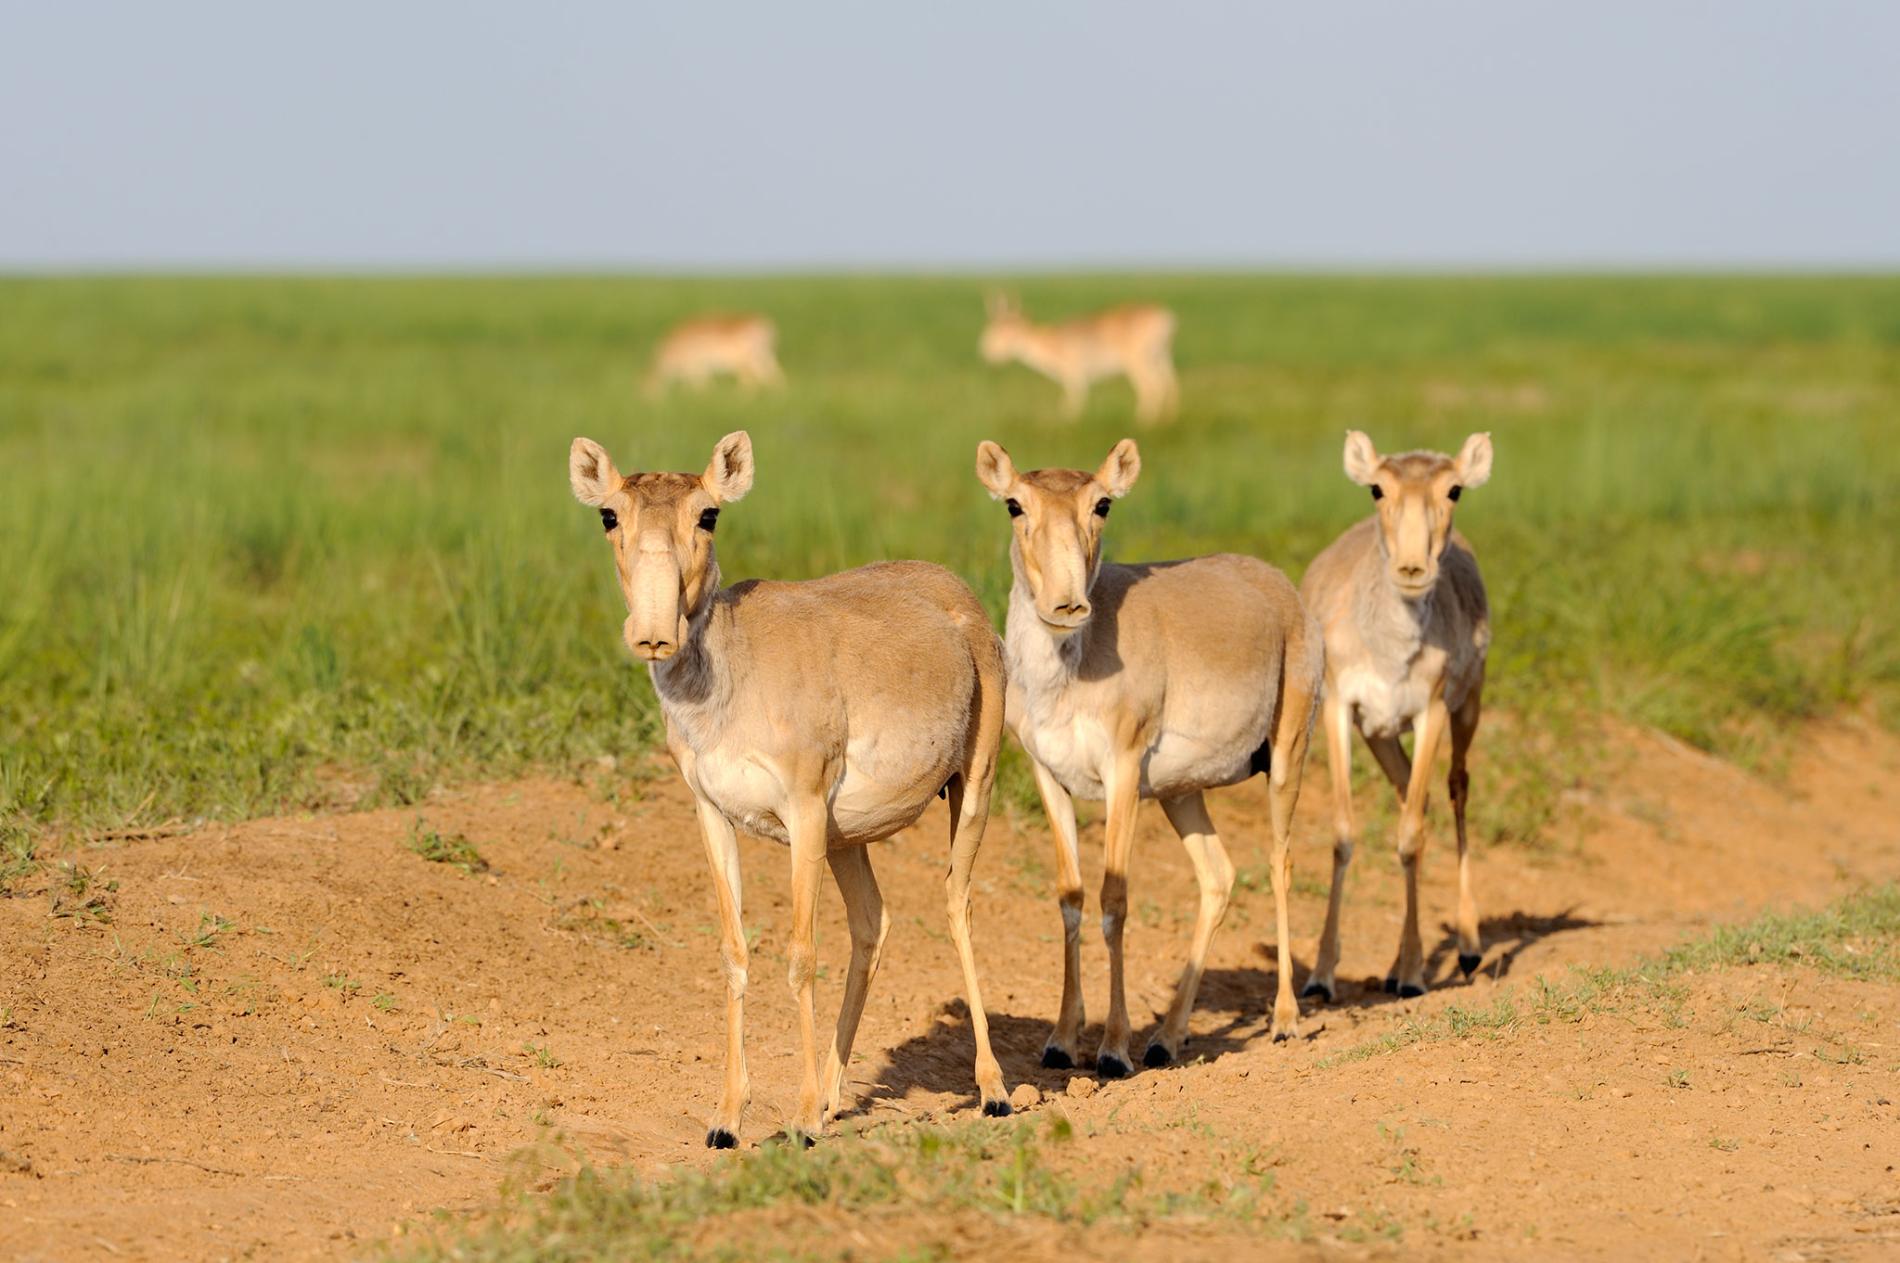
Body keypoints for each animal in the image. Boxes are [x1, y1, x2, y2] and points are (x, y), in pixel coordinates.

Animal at [566, 425, 1018, 1139]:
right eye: (610, 514)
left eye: (708, 514)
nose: (653, 634)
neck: (732, 674)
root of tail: (960, 600)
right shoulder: (713, 814)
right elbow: (734, 952)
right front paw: (727, 1119)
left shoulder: (803, 810)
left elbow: (802, 956)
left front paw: (802, 1121)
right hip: (847, 841)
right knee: (873, 923)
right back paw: (835, 1094)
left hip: (972, 789)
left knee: (957, 905)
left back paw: (992, 1091)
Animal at [642, 311, 782, 395]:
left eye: (643, 390)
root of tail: (765, 325)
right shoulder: (698, 366)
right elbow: (700, 383)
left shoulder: (694, 365)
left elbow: (698, 383)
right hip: (762, 355)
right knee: (772, 373)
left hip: (741, 359)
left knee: (750, 379)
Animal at [980, 292, 1170, 421]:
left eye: (999, 332)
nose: (985, 352)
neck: (1049, 342)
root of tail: (1164, 317)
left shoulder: (1072, 372)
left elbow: (1074, 400)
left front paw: (1068, 421)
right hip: (1160, 356)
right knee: (1168, 384)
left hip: (1137, 361)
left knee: (1151, 387)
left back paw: (1143, 422)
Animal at [980, 436, 1322, 1071]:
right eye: (1015, 504)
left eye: (1103, 503)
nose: (1067, 606)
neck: (1071, 670)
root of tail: (1280, 587)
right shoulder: (1049, 776)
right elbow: (1071, 895)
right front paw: (1061, 1041)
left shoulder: (1121, 773)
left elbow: (1114, 898)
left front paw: (1114, 1050)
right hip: (1180, 793)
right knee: (1219, 876)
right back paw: (1167, 1036)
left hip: (1288, 754)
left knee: (1279, 863)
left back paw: (1285, 1019)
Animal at [1307, 429, 1497, 1002]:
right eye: (1377, 488)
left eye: (1454, 489)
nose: (1412, 569)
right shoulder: (1342, 709)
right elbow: (1344, 832)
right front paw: (1321, 975)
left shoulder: (1431, 710)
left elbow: (1410, 835)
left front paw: (1414, 973)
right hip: (1381, 735)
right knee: (1416, 796)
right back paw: (1392, 965)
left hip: (1468, 707)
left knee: (1455, 788)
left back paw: (1466, 946)